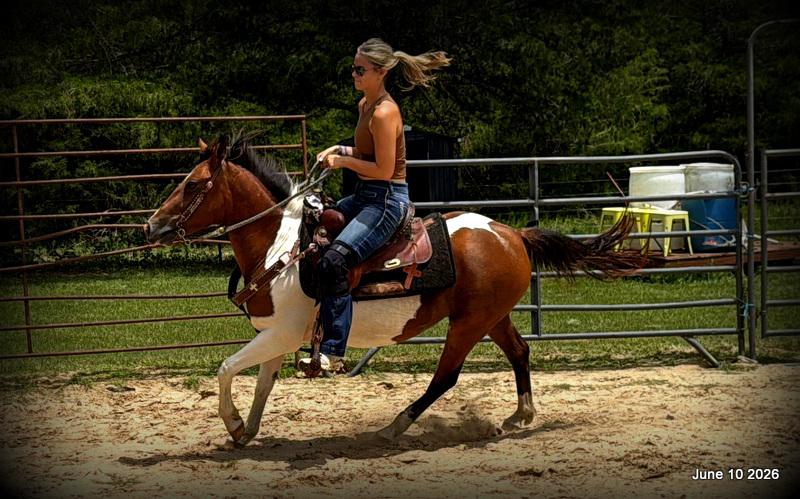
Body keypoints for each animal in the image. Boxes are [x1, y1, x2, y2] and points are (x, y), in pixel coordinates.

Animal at [145, 135, 643, 446]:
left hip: (468, 324)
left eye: (193, 184)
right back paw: (519, 415)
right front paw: (245, 431)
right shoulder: (277, 337)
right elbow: (263, 384)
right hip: (492, 316)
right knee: (520, 351)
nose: (151, 226)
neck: (283, 247)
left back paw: (394, 427)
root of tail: (514, 234)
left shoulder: (281, 334)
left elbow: (227, 368)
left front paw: (232, 422)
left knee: (446, 377)